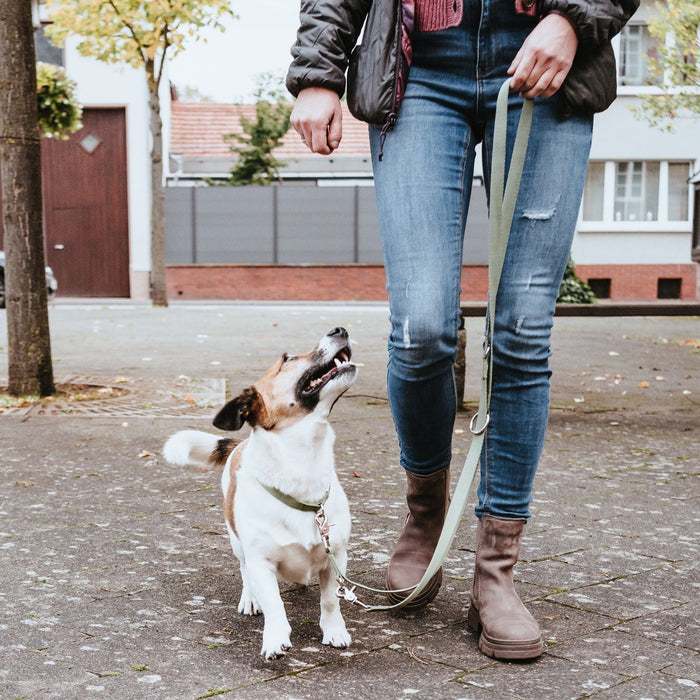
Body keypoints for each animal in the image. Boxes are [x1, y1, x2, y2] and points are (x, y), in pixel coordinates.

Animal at [163, 326, 356, 656]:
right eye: (288, 359)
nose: (339, 329)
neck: (303, 466)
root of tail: (238, 445)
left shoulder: (336, 555)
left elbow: (331, 600)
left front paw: (334, 631)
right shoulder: (260, 561)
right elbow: (274, 603)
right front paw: (275, 636)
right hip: (237, 543)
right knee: (244, 573)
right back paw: (250, 599)